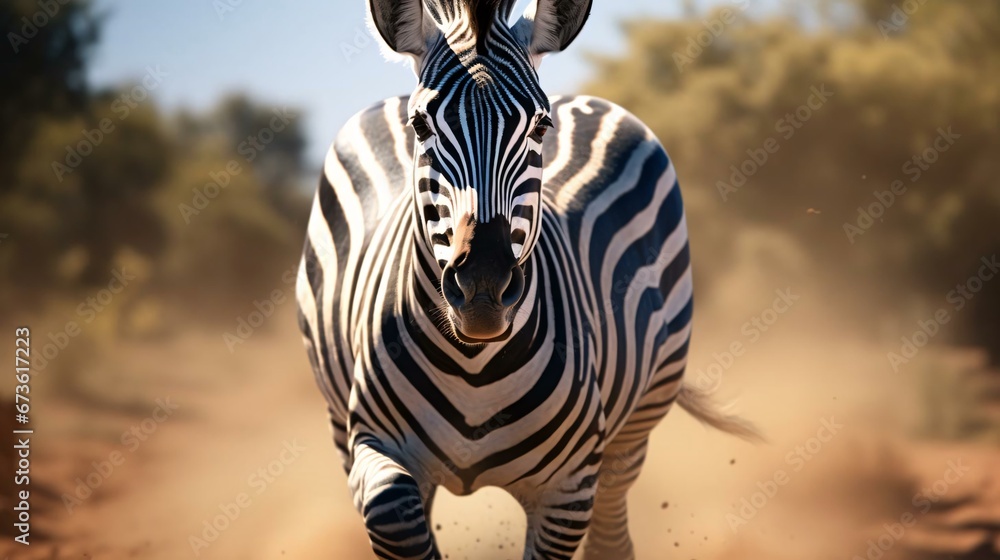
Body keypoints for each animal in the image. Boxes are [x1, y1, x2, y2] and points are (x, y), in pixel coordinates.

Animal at [296, 1, 760, 558]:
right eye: (421, 125)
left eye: (540, 128)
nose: (482, 290)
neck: (473, 368)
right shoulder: (374, 442)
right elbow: (396, 515)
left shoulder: (570, 486)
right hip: (337, 423)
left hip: (636, 424)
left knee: (613, 530)